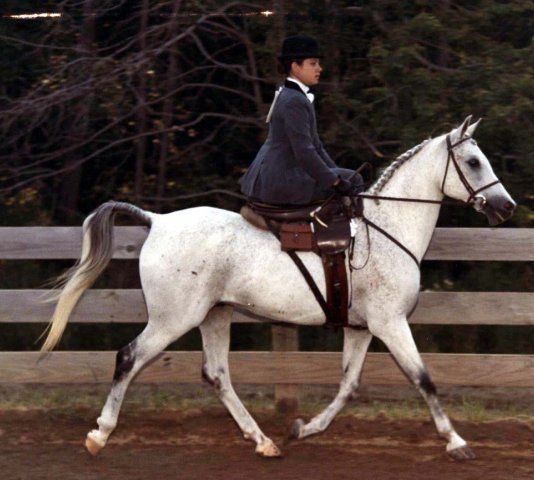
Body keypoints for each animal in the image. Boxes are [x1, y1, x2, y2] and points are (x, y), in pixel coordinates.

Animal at [42, 115, 520, 462]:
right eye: (474, 162)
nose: (507, 206)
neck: (386, 230)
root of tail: (156, 221)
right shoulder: (390, 323)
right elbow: (424, 379)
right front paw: (456, 442)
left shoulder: (362, 329)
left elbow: (349, 385)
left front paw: (305, 428)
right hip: (174, 318)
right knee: (128, 357)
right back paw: (100, 434)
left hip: (215, 315)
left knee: (216, 374)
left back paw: (262, 440)